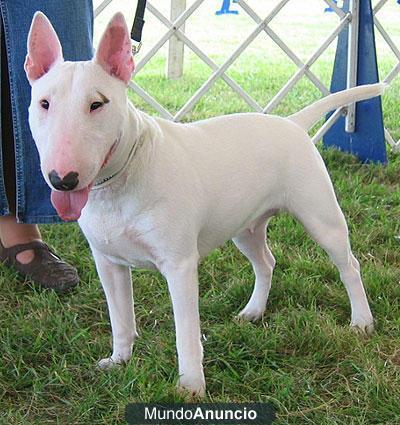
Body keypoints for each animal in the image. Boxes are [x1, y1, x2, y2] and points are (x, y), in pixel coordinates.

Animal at [26, 11, 380, 396]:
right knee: (266, 263)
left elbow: (186, 333)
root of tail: (292, 123)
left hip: (321, 217)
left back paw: (362, 321)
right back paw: (253, 311)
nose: (63, 179)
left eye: (97, 103)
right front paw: (118, 361)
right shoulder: (108, 263)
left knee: (349, 266)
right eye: (44, 103)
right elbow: (120, 318)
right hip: (245, 227)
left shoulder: (179, 266)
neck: (117, 183)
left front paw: (191, 386)